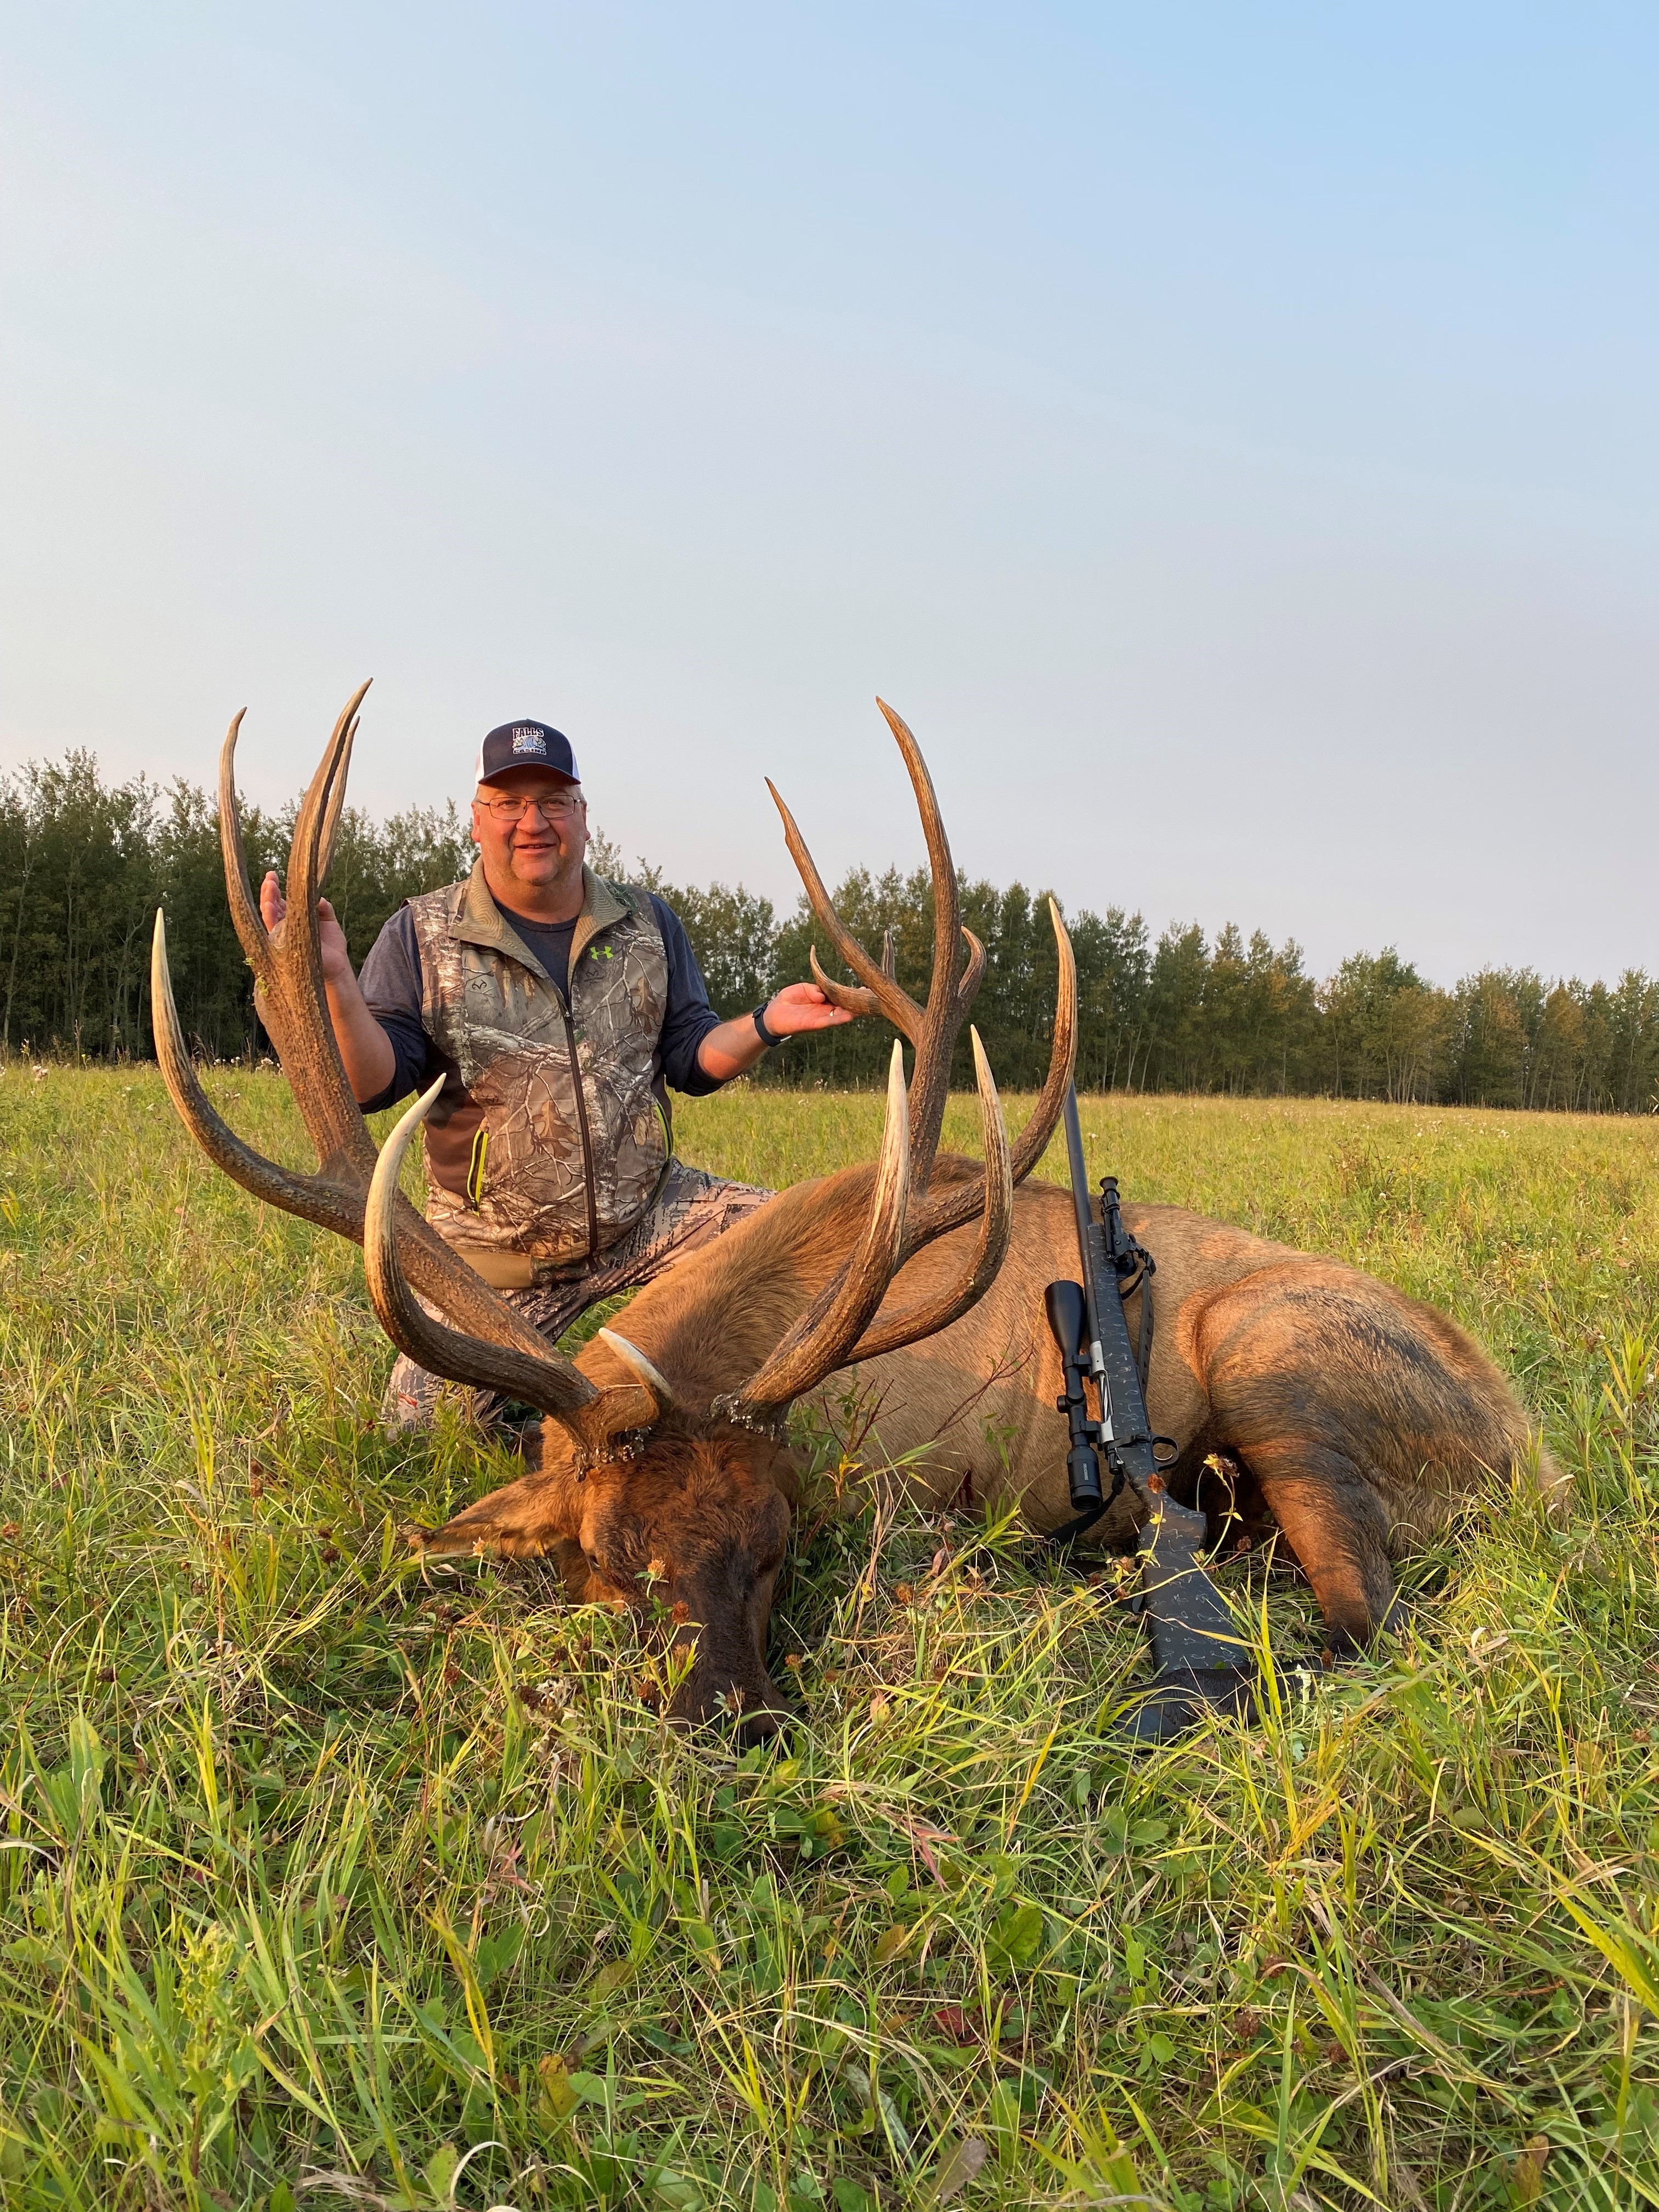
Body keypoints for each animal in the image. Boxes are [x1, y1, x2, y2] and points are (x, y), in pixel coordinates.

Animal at [152, 689, 1565, 1742]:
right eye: (609, 1558)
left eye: (779, 1547)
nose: (732, 1723)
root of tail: (1530, 1457)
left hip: (1281, 1363)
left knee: (1371, 1626)